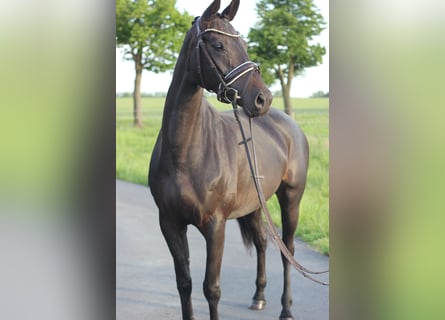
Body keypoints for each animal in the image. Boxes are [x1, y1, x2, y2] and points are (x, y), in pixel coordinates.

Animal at [149, 1, 308, 318]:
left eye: (244, 44)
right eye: (218, 44)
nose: (262, 98)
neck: (184, 152)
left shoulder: (215, 225)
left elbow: (211, 288)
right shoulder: (170, 223)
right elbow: (184, 283)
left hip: (291, 199)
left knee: (288, 250)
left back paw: (286, 309)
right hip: (256, 204)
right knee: (262, 242)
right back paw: (259, 296)